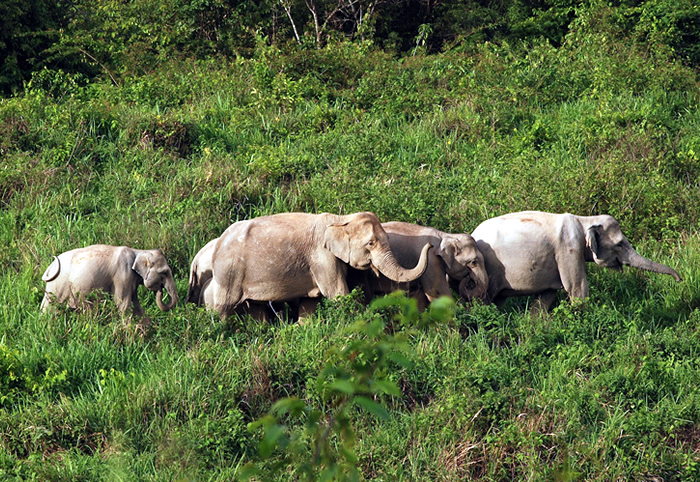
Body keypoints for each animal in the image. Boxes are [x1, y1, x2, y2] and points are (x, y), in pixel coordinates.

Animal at [41, 245, 178, 316]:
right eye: (165, 272)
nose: (160, 290)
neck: (139, 251)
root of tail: (51, 266)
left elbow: (137, 305)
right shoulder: (122, 275)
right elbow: (122, 304)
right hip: (57, 286)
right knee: (50, 308)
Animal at [208, 210, 430, 316]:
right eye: (371, 243)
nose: (429, 245)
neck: (340, 218)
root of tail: (218, 242)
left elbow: (310, 302)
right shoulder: (321, 258)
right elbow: (339, 295)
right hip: (229, 273)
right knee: (222, 308)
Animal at [470, 212, 684, 312]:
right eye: (620, 244)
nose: (679, 279)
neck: (585, 219)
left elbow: (546, 296)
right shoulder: (569, 248)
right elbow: (577, 289)